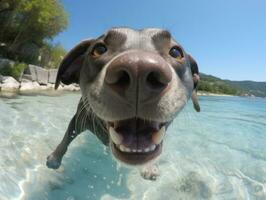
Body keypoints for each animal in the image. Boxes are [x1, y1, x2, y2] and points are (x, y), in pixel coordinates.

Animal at [46, 27, 200, 180]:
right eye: (99, 49)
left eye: (176, 52)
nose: (138, 68)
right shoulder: (79, 119)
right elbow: (67, 137)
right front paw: (55, 157)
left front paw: (150, 167)